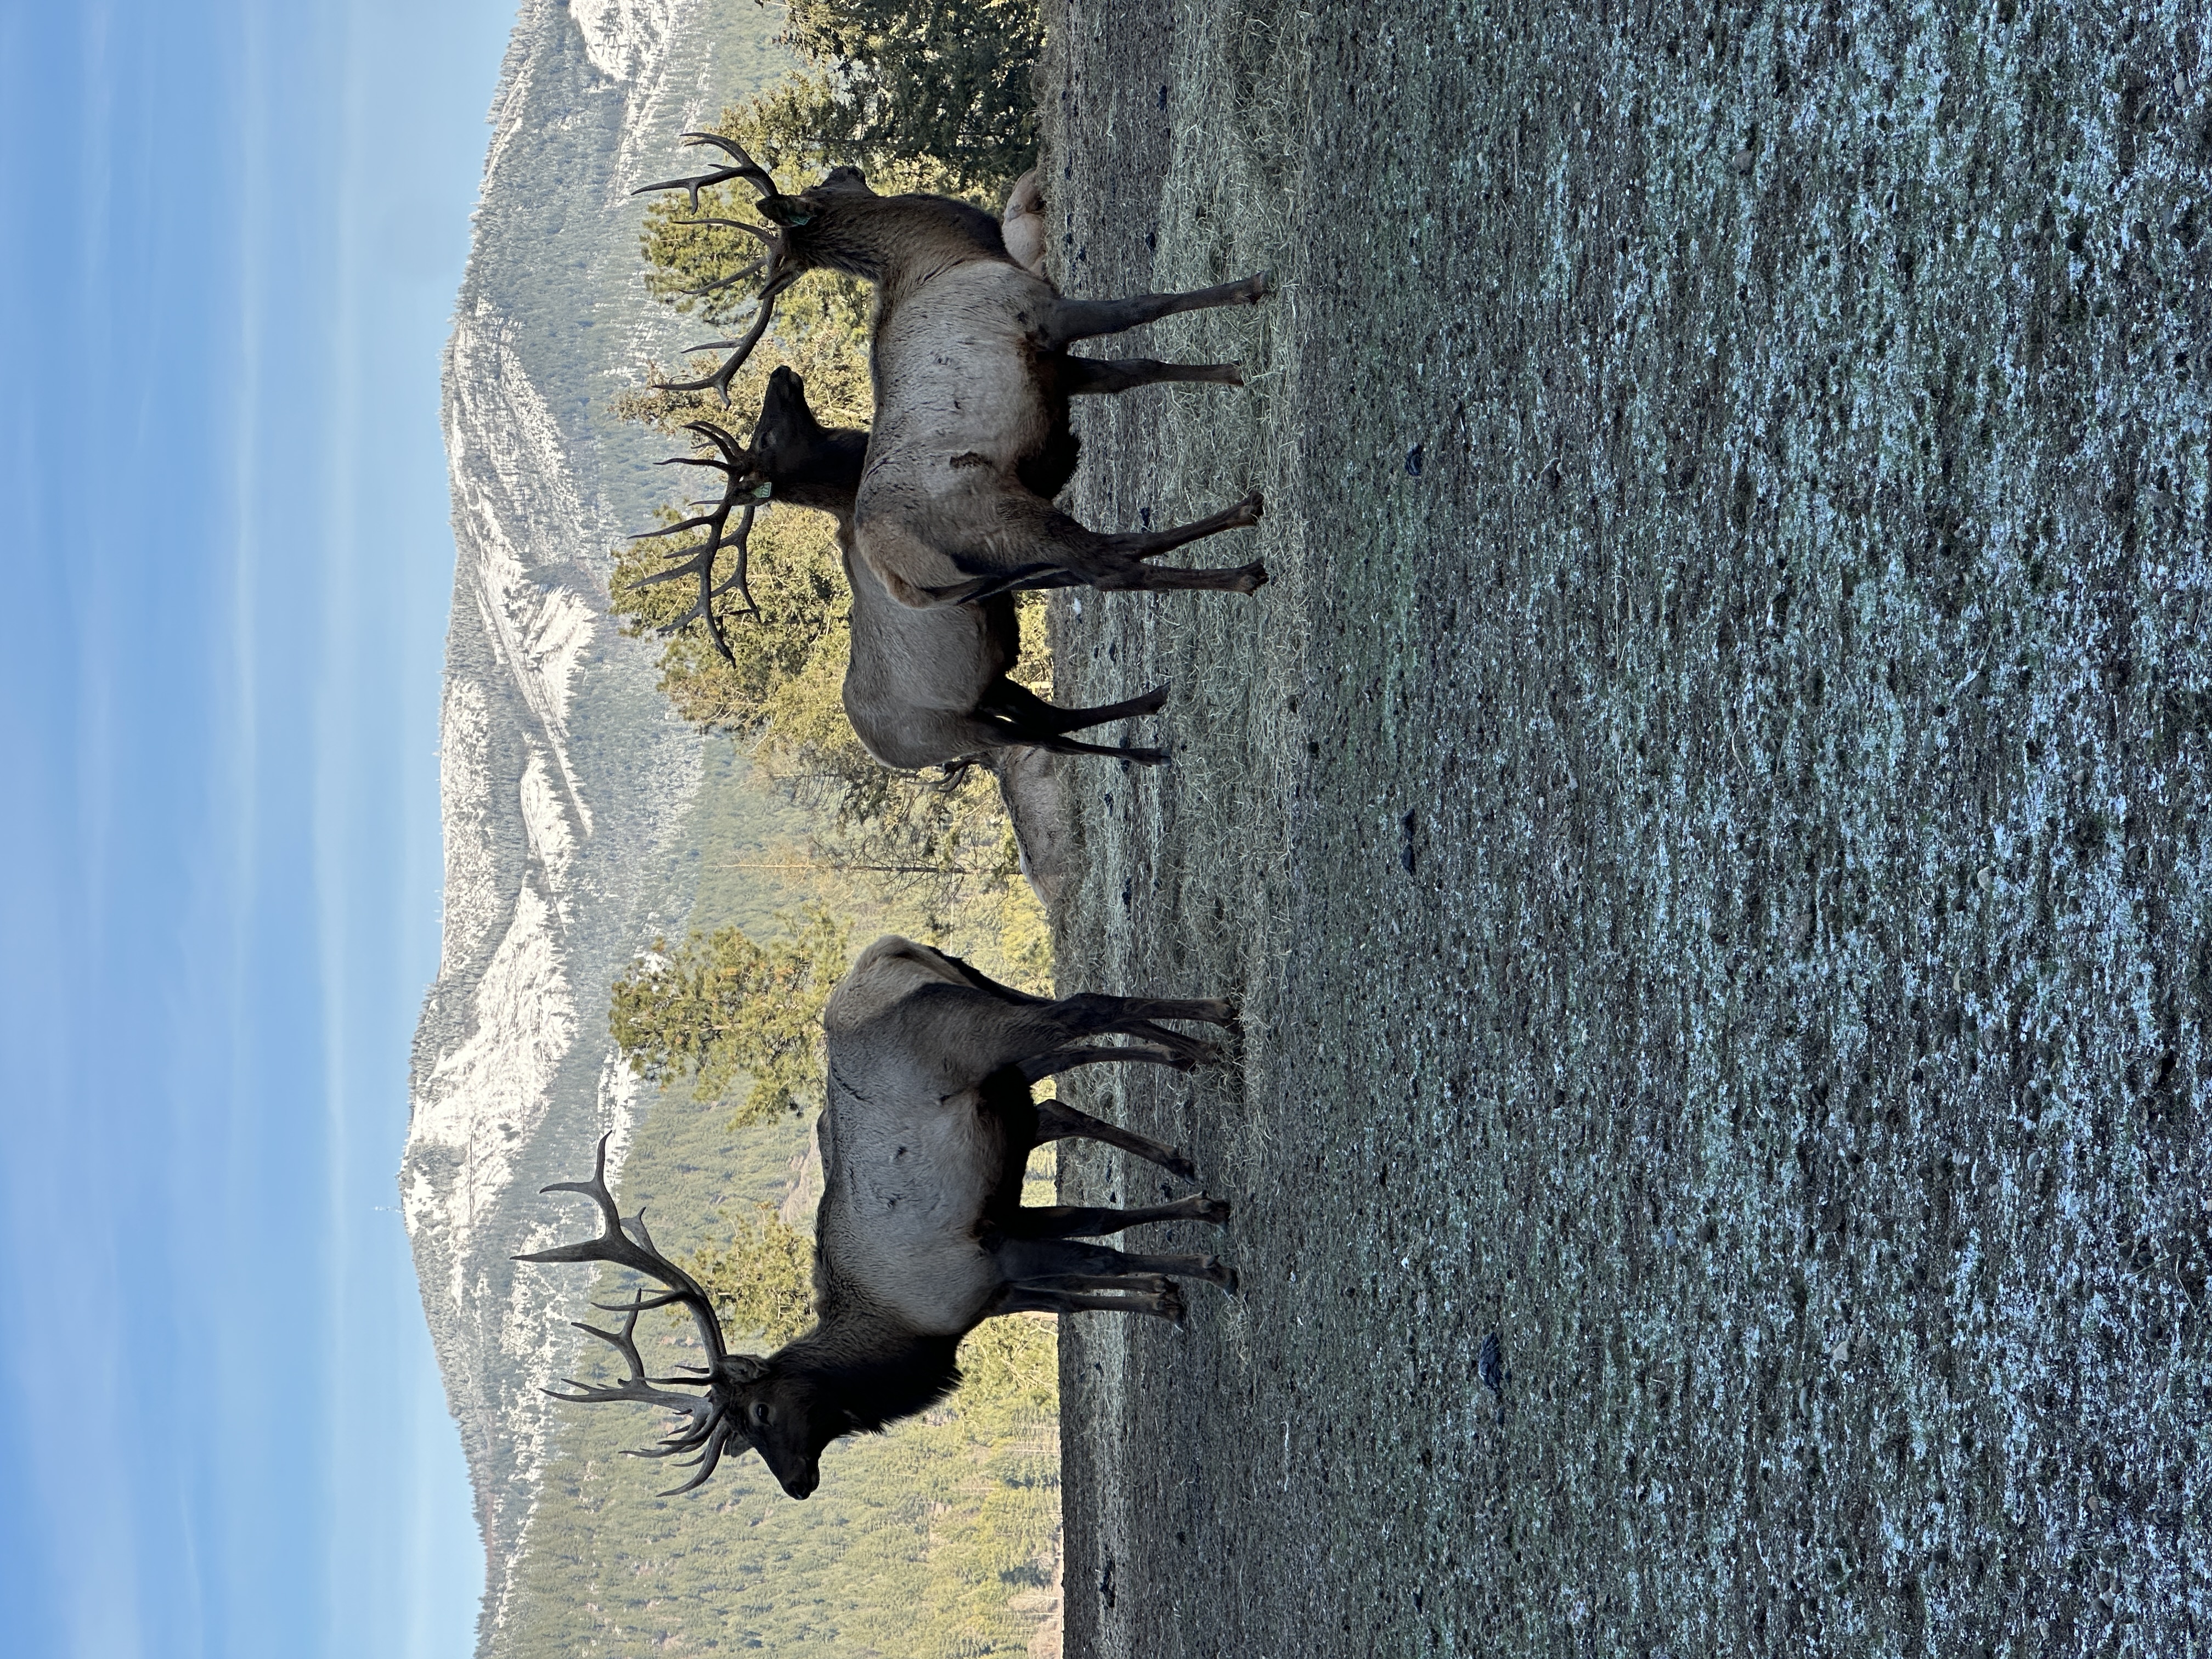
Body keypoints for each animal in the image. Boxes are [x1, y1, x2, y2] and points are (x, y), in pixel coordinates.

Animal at [519, 938, 1238, 1500]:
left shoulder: (987, 1265)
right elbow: (1089, 1250)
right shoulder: (1001, 1267)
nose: (796, 1485)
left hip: (984, 1035)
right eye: (742, 1439)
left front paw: (1203, 1274)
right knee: (1076, 1039)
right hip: (992, 1008)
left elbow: (1102, 1256)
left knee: (1086, 1007)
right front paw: (1183, 1254)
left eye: (760, 1411)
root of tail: (880, 953)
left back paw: (1213, 1030)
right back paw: (1196, 1059)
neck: (900, 1336)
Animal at [635, 134, 1271, 610]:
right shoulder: (1039, 312)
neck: (956, 249)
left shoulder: (1053, 367)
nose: (843, 165)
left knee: (1107, 557)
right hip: (1007, 520)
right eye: (819, 188)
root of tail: (903, 580)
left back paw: (1243, 516)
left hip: (1022, 567)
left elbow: (1136, 369)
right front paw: (1249, 290)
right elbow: (1147, 305)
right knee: (1112, 566)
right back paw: (1243, 568)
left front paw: (1231, 372)